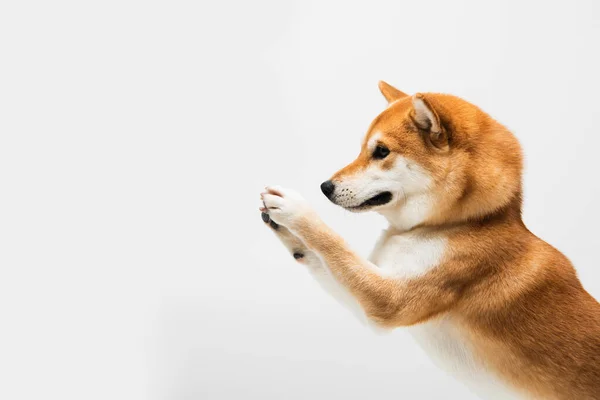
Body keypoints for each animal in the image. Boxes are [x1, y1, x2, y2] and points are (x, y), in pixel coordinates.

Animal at [258, 82, 600, 400]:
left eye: (381, 152)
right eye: (362, 149)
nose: (324, 187)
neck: (460, 223)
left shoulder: (389, 301)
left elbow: (333, 243)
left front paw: (295, 208)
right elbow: (317, 257)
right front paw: (283, 228)